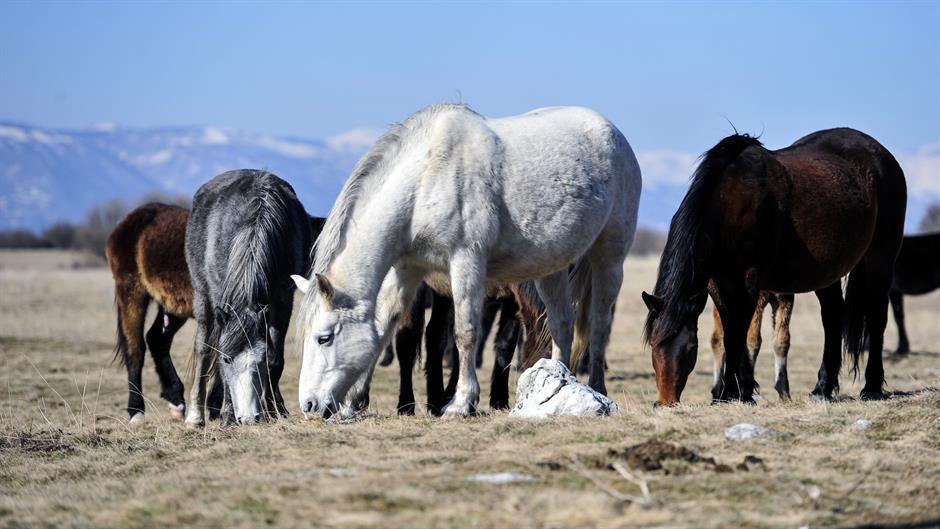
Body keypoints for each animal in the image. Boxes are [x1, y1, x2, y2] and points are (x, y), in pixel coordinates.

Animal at [294, 103, 644, 416]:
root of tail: (613, 133)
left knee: (598, 324)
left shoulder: (466, 261)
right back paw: (562, 382)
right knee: (561, 324)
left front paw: (461, 403)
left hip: (609, 256)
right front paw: (353, 403)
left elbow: (466, 333)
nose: (309, 405)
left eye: (324, 338)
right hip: (552, 269)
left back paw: (596, 388)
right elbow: (383, 328)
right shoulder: (409, 269)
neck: (426, 178)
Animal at [644, 129, 908, 404]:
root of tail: (880, 153)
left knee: (877, 316)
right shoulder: (717, 283)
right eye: (653, 344)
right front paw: (731, 393)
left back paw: (872, 387)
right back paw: (822, 389)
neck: (731, 203)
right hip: (827, 272)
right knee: (833, 316)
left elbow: (739, 333)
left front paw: (736, 393)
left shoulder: (748, 279)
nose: (665, 402)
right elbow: (730, 332)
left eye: (690, 348)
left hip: (880, 258)